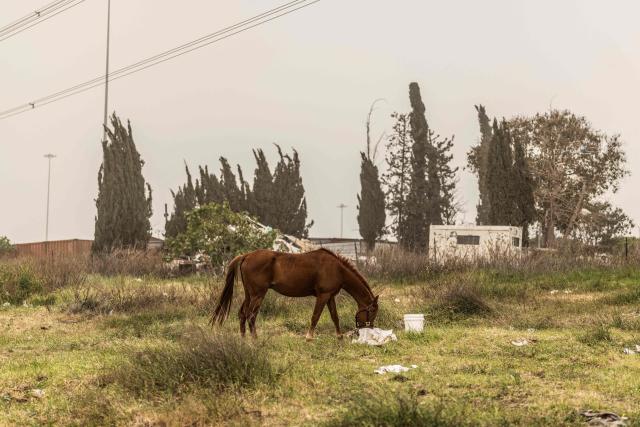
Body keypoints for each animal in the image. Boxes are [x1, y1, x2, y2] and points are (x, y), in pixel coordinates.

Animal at [211, 248, 379, 340]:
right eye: (371, 312)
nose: (368, 328)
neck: (337, 269)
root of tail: (246, 255)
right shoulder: (323, 296)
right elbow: (315, 316)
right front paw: (309, 337)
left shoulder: (330, 296)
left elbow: (335, 317)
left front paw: (339, 336)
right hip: (258, 295)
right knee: (251, 315)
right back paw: (255, 339)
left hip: (249, 294)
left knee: (242, 314)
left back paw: (243, 338)